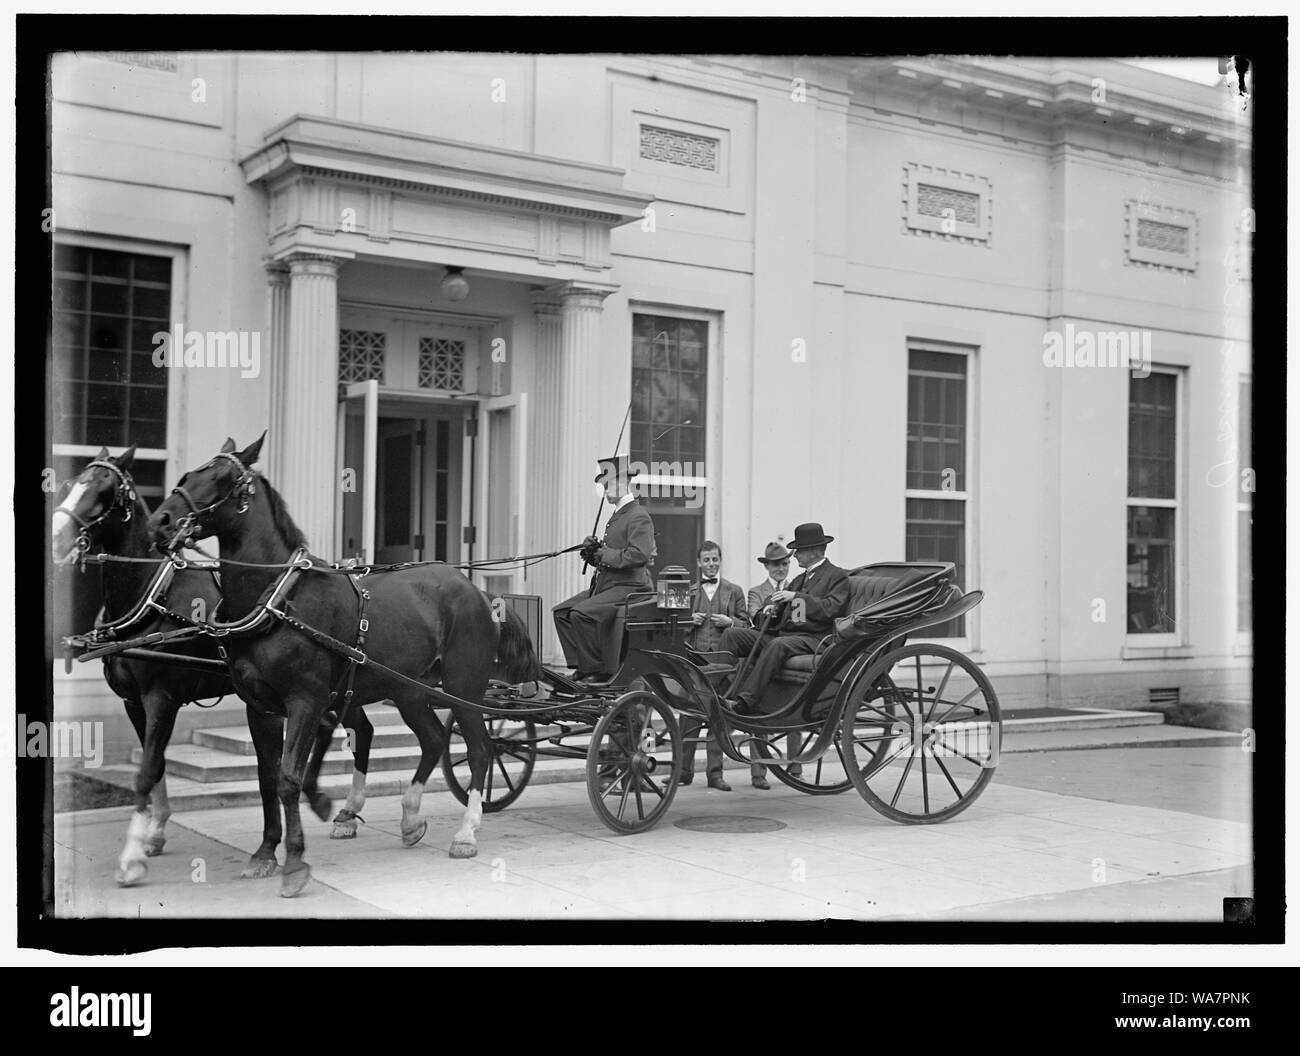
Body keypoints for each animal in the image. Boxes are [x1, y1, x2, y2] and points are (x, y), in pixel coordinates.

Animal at [149, 436, 535, 899]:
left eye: (222, 479)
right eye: (189, 474)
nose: (161, 521)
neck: (279, 599)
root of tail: (478, 592)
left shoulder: (306, 700)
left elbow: (289, 778)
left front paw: (296, 863)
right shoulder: (259, 707)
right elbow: (267, 779)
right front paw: (265, 853)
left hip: (464, 689)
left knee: (479, 750)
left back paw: (466, 832)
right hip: (410, 690)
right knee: (433, 739)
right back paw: (409, 817)